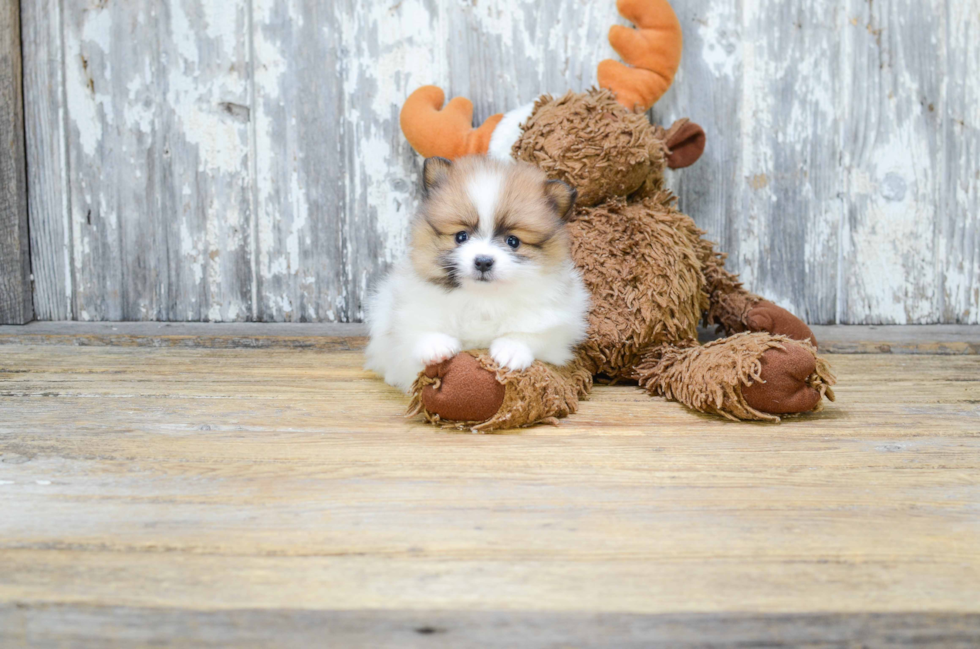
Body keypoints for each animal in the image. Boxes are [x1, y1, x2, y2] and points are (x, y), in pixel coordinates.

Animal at [364, 156, 584, 390]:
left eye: (513, 241)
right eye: (461, 236)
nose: (483, 262)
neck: (482, 297)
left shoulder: (556, 328)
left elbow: (532, 334)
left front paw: (511, 350)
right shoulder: (405, 314)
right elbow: (415, 330)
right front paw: (436, 345)